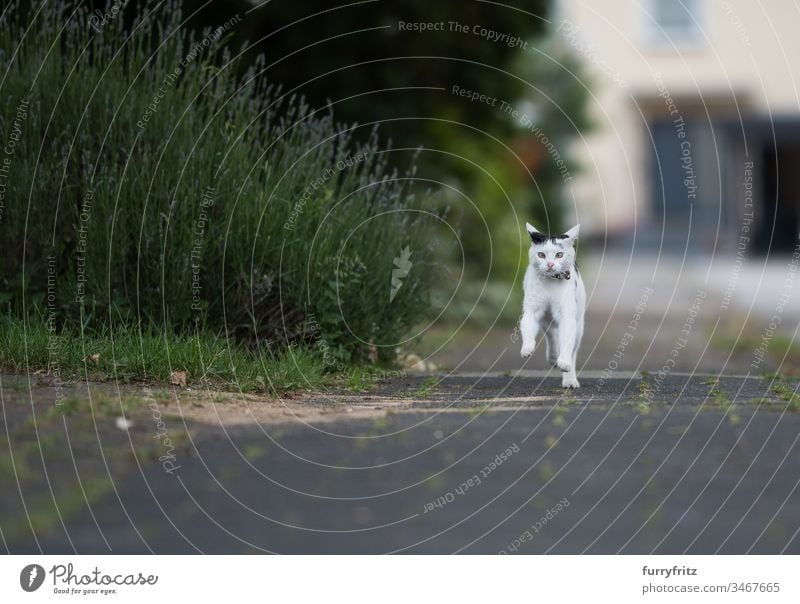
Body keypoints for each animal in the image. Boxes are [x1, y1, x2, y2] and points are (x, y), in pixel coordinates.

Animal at [520, 221, 584, 386]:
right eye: (541, 255)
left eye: (559, 255)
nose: (549, 264)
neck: (550, 282)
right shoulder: (531, 311)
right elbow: (527, 328)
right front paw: (527, 348)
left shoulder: (567, 316)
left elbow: (567, 341)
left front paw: (564, 364)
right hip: (545, 320)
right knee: (551, 333)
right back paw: (553, 357)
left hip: (579, 325)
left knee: (573, 350)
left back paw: (569, 378)